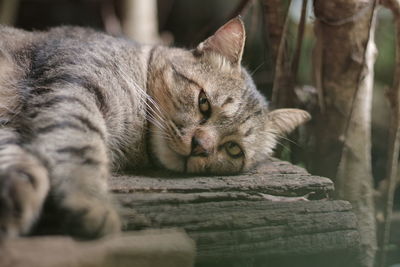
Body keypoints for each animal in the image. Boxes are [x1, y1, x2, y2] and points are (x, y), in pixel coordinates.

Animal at [0, 17, 310, 240]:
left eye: (233, 149)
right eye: (204, 103)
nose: (200, 146)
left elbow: (20, 160)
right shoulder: (73, 87)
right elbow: (79, 146)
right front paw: (89, 199)